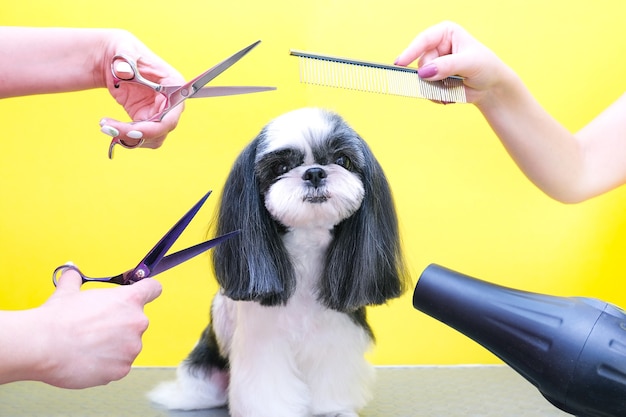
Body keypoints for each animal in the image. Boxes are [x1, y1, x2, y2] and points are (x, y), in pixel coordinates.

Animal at [149, 108, 408, 416]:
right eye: (281, 167)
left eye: (342, 160)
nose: (314, 172)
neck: (307, 248)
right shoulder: (263, 342)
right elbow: (267, 388)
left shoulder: (335, 335)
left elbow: (330, 376)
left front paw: (332, 409)